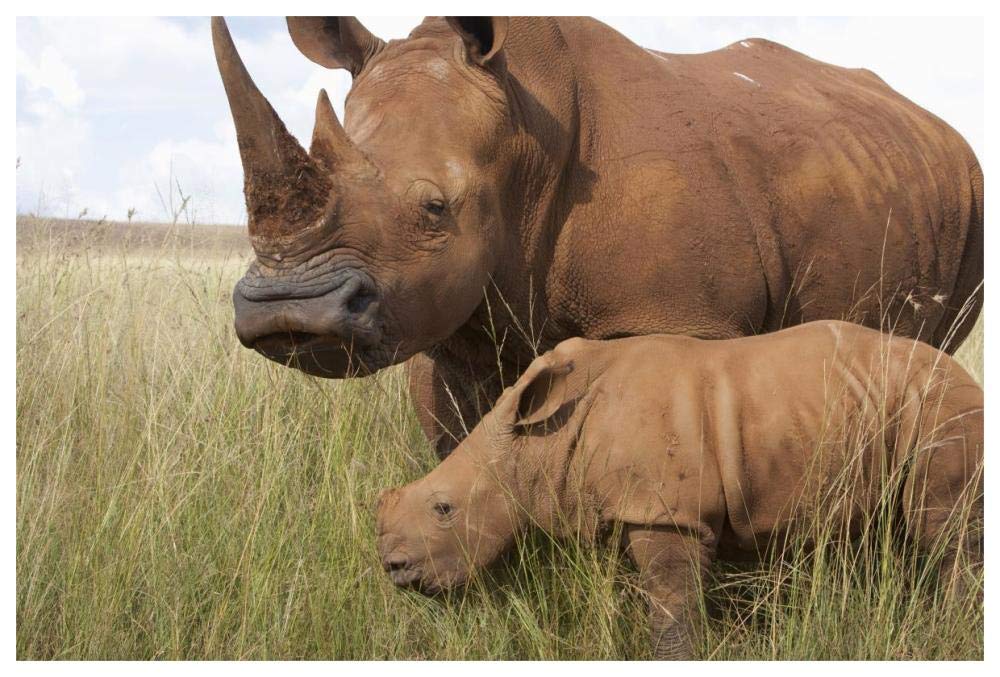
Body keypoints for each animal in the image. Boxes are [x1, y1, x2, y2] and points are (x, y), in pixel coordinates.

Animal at [213, 17, 983, 457]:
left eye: (435, 208)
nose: (288, 311)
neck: (523, 129)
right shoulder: (444, 320)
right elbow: (458, 446)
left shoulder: (676, 315)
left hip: (971, 190)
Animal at [375, 321, 984, 659]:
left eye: (444, 508)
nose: (394, 569)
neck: (537, 442)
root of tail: (969, 378)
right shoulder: (625, 506)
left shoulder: (668, 513)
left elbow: (672, 608)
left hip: (944, 410)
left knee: (941, 531)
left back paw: (951, 629)